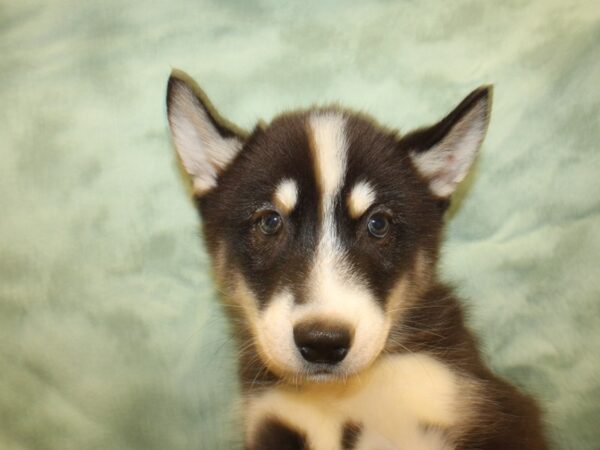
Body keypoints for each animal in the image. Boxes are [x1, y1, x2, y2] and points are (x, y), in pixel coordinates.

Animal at [165, 71, 548, 450]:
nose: (323, 342)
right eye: (270, 221)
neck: (341, 396)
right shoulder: (274, 421)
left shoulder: (481, 406)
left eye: (378, 224)